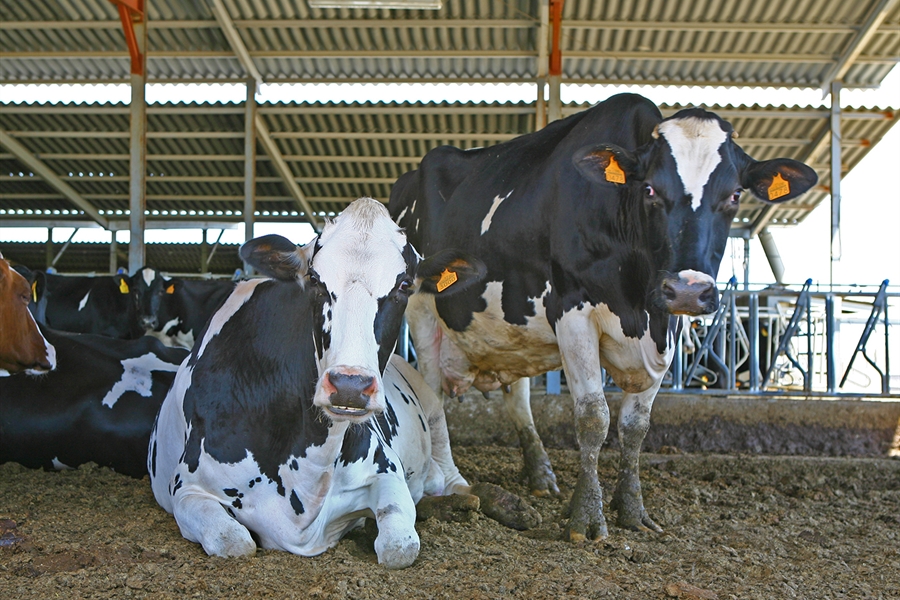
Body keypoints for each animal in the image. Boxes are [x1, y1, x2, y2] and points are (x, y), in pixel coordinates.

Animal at [390, 95, 820, 544]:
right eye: (650, 189)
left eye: (735, 194)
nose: (687, 290)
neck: (640, 308)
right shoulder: (573, 312)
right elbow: (593, 417)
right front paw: (587, 516)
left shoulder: (667, 332)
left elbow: (635, 426)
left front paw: (631, 508)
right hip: (423, 313)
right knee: (432, 395)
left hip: (511, 332)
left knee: (518, 399)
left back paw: (540, 475)